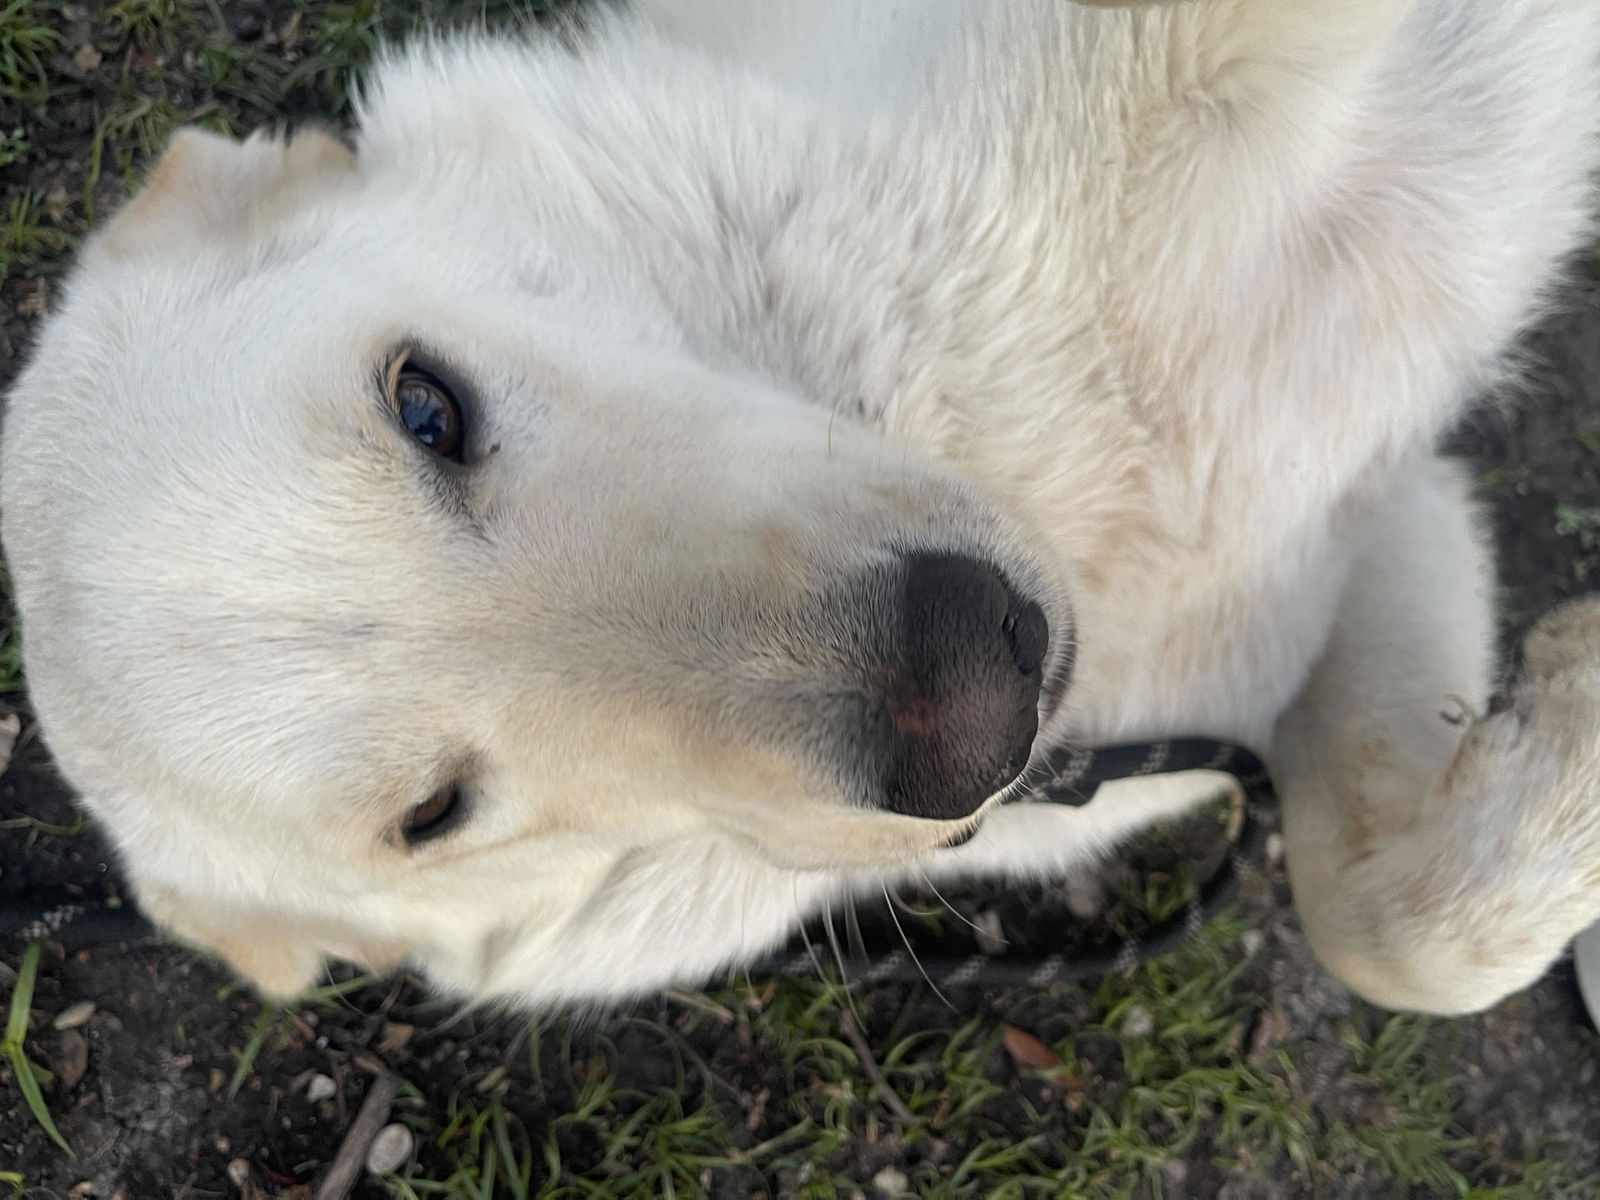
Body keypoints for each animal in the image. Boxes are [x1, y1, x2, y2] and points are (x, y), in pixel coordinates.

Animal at [3, 0, 1600, 1017]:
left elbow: (1400, 931)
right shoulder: (1344, 566)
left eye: (426, 408)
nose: (975, 699)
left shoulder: (1384, 513)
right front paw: (1571, 730)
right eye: (435, 815)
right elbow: (1390, 934)